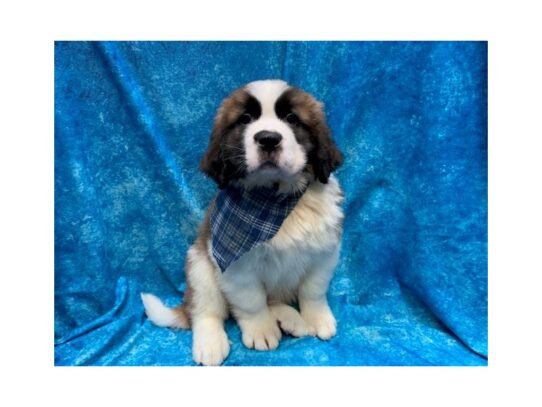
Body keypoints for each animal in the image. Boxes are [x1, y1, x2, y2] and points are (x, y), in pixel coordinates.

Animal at [141, 79, 344, 366]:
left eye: (292, 119)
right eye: (246, 119)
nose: (268, 138)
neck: (277, 200)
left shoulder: (325, 251)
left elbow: (313, 290)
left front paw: (317, 318)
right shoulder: (236, 267)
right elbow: (251, 302)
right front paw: (261, 330)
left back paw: (291, 318)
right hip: (199, 266)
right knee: (204, 309)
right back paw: (211, 342)